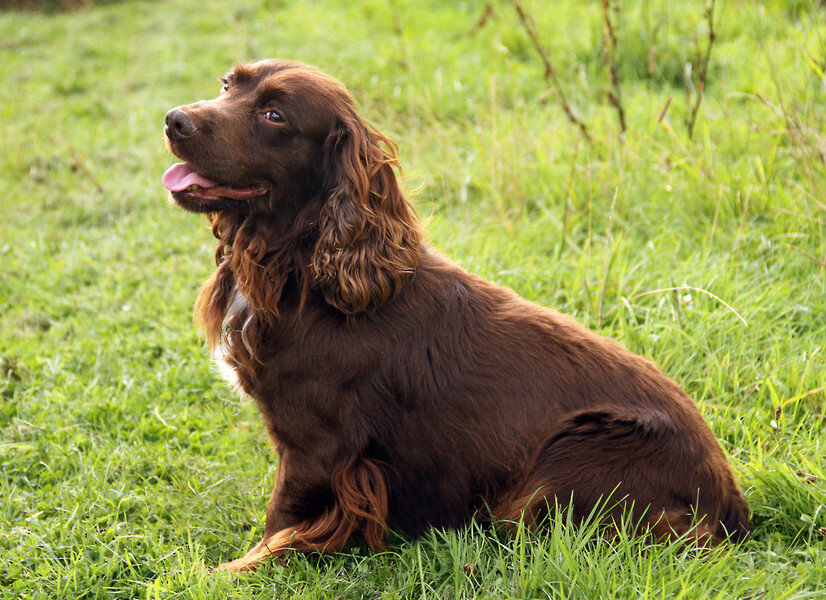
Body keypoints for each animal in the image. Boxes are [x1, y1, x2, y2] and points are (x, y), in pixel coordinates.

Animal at [161, 61, 748, 572]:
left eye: (275, 115)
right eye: (227, 84)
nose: (174, 119)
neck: (302, 272)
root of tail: (730, 500)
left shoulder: (316, 446)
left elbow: (278, 522)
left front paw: (230, 570)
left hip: (576, 452)